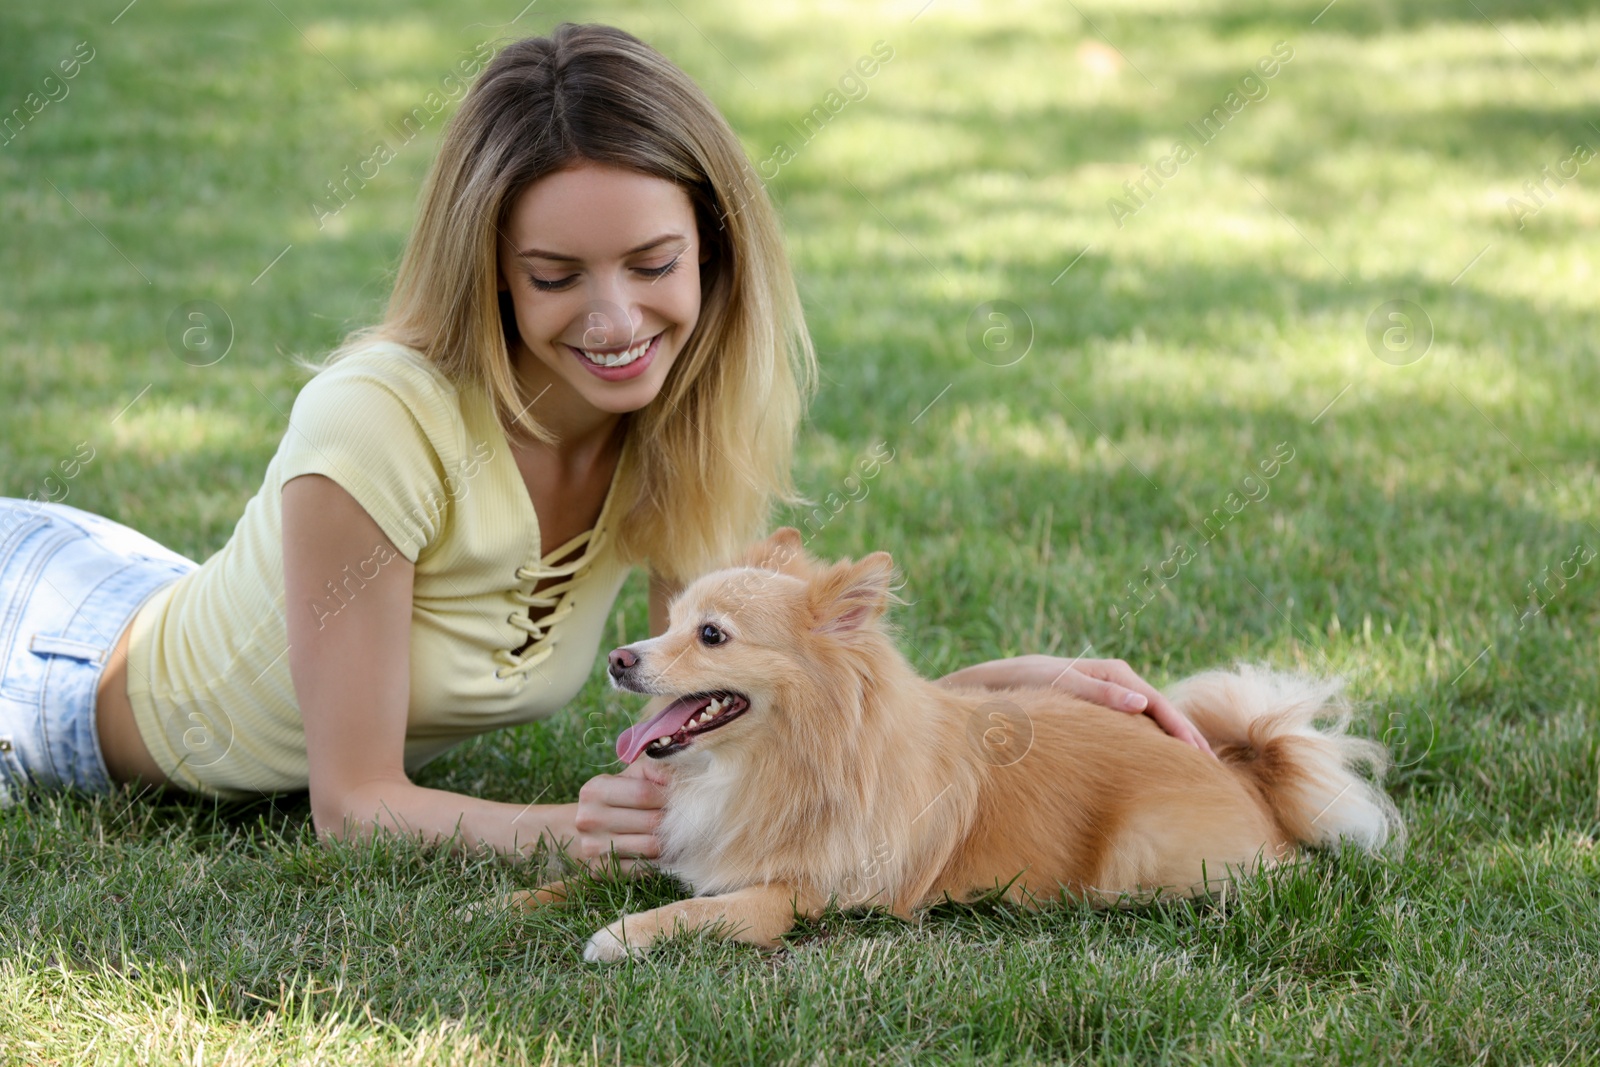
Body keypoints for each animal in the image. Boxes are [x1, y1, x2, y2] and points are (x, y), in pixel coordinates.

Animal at [515, 531, 1401, 966]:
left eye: (710, 635)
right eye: (666, 622)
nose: (619, 658)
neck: (772, 762)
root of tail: (1246, 769)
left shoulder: (799, 895)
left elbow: (706, 909)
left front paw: (624, 935)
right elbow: (603, 874)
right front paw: (520, 898)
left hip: (1143, 854)